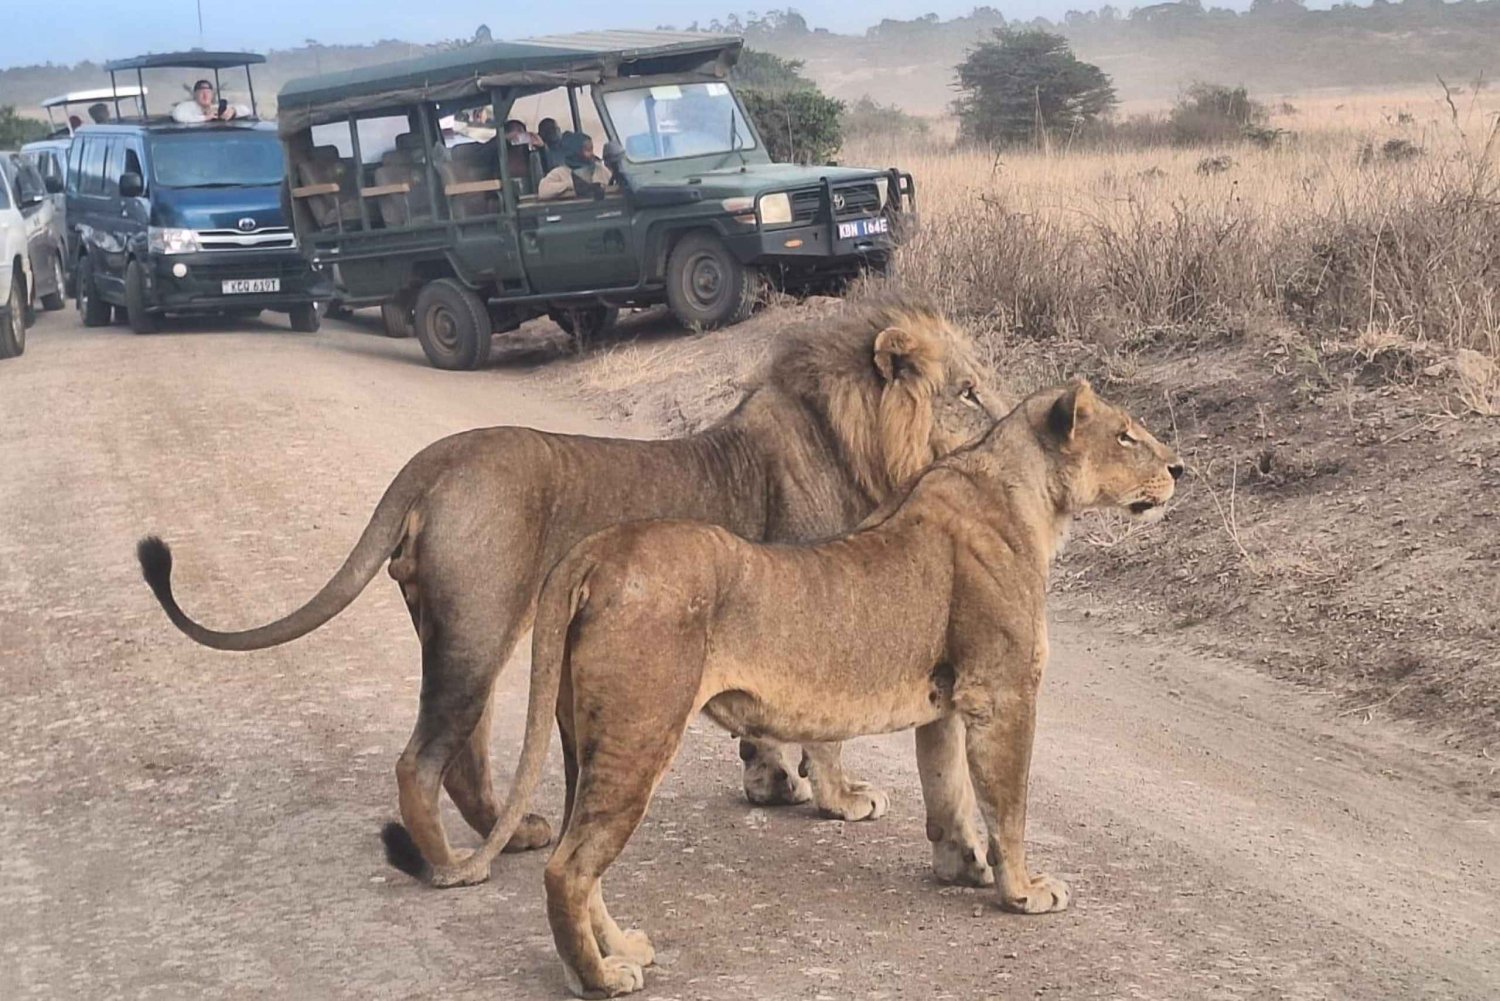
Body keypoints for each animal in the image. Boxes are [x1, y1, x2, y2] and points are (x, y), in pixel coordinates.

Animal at [135, 295, 1002, 882]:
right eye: (967, 392)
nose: (1008, 430)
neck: (853, 440)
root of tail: (433, 461)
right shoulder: (818, 607)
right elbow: (826, 734)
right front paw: (841, 798)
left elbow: (764, 733)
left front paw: (772, 785)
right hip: (480, 628)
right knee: (420, 761)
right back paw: (452, 863)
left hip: (468, 631)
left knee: (463, 757)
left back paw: (513, 831)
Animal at [450, 379, 1176, 996]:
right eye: (1127, 435)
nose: (1181, 469)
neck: (1030, 498)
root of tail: (597, 551)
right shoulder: (1003, 693)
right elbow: (1010, 806)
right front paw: (1023, 891)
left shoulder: (948, 701)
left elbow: (949, 793)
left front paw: (963, 867)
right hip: (640, 733)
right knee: (567, 867)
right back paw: (599, 978)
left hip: (587, 740)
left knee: (581, 857)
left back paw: (618, 949)